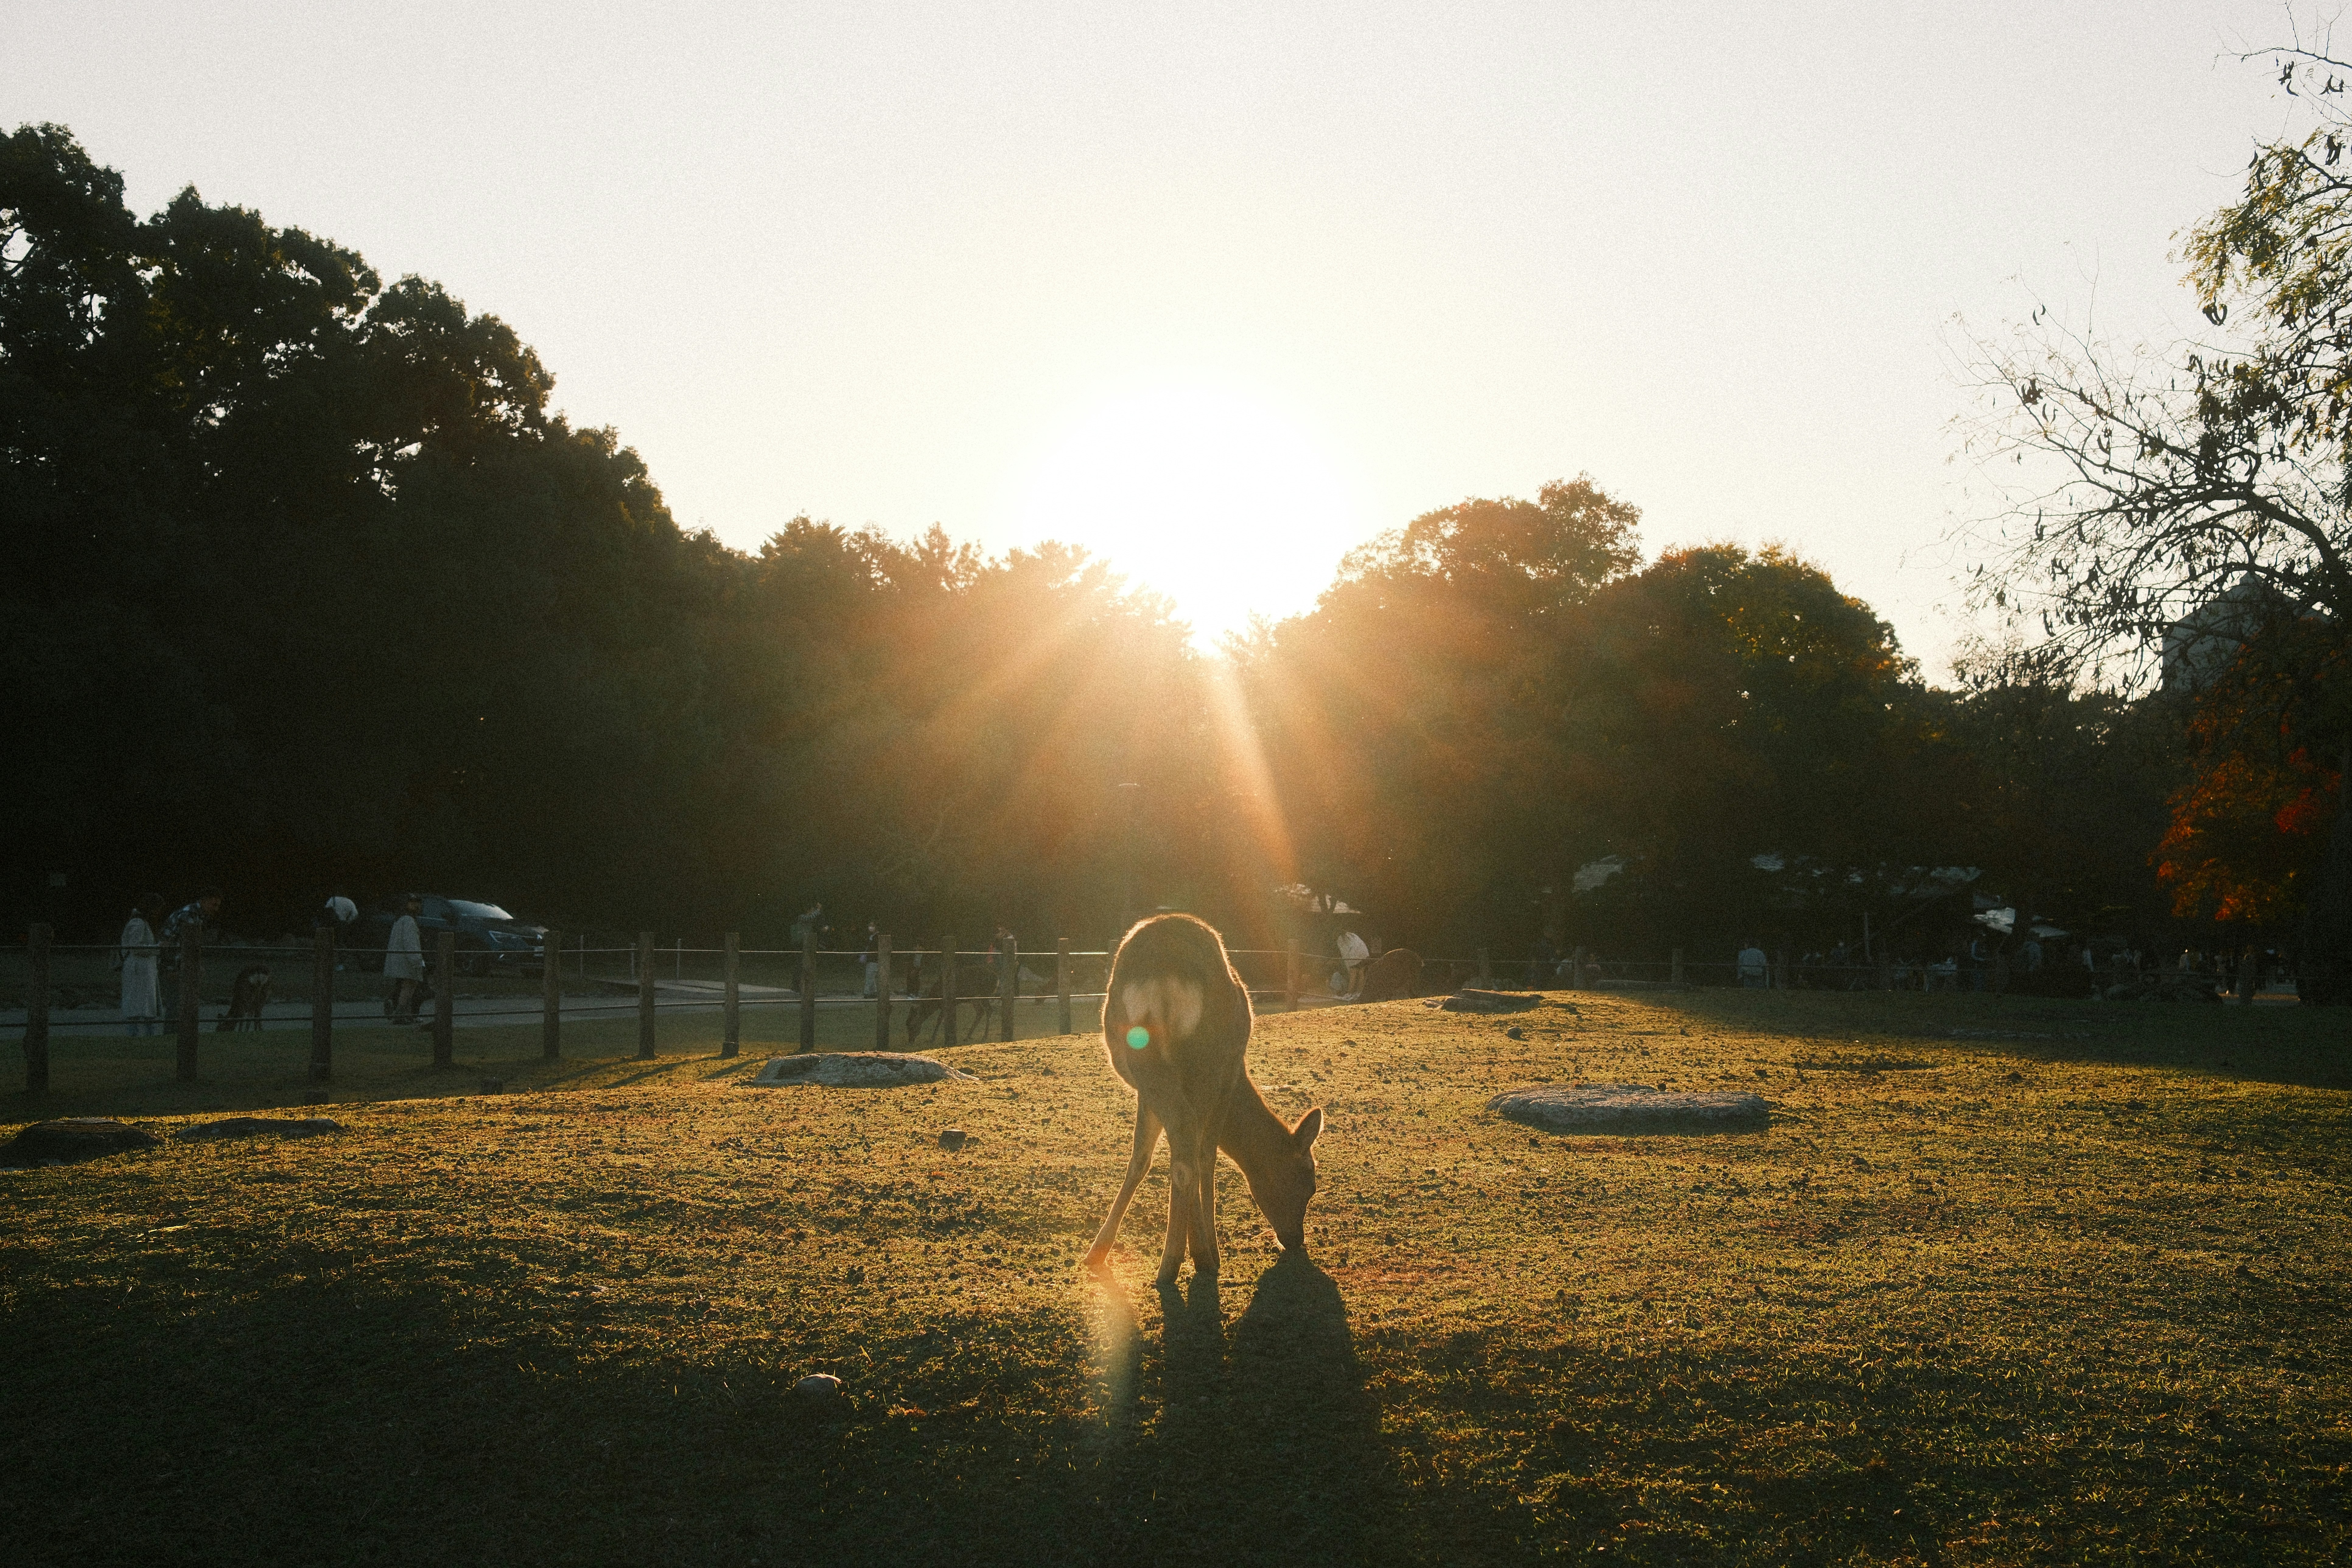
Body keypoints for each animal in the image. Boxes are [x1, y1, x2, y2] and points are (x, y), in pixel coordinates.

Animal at [1085, 913, 1325, 1287]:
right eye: (1309, 1181)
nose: (1296, 1240)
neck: (1242, 1081)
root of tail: (1163, 970)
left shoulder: (1145, 1092)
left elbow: (1141, 1159)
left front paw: (1097, 1252)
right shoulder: (1227, 1075)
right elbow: (1208, 1155)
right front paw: (1211, 1251)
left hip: (1146, 1058)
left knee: (1180, 1141)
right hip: (1205, 1061)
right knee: (1191, 1144)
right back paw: (1188, 1259)